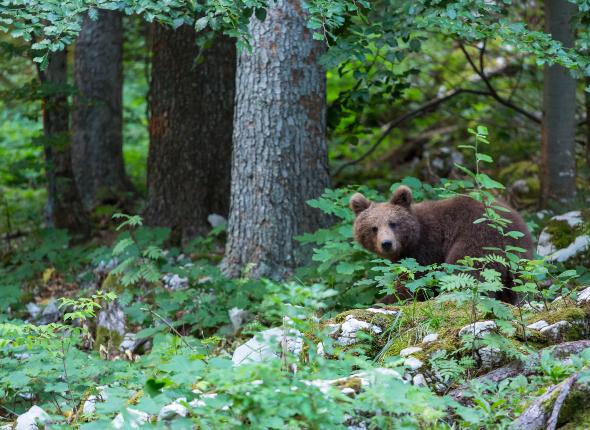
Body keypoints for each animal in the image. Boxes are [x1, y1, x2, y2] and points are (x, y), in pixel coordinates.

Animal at [352, 186, 536, 304]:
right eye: (374, 228)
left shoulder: (426, 249)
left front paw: (384, 301)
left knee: (465, 270)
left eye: (393, 223)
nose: (387, 243)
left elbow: (414, 282)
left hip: (478, 238)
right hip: (519, 257)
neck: (414, 237)